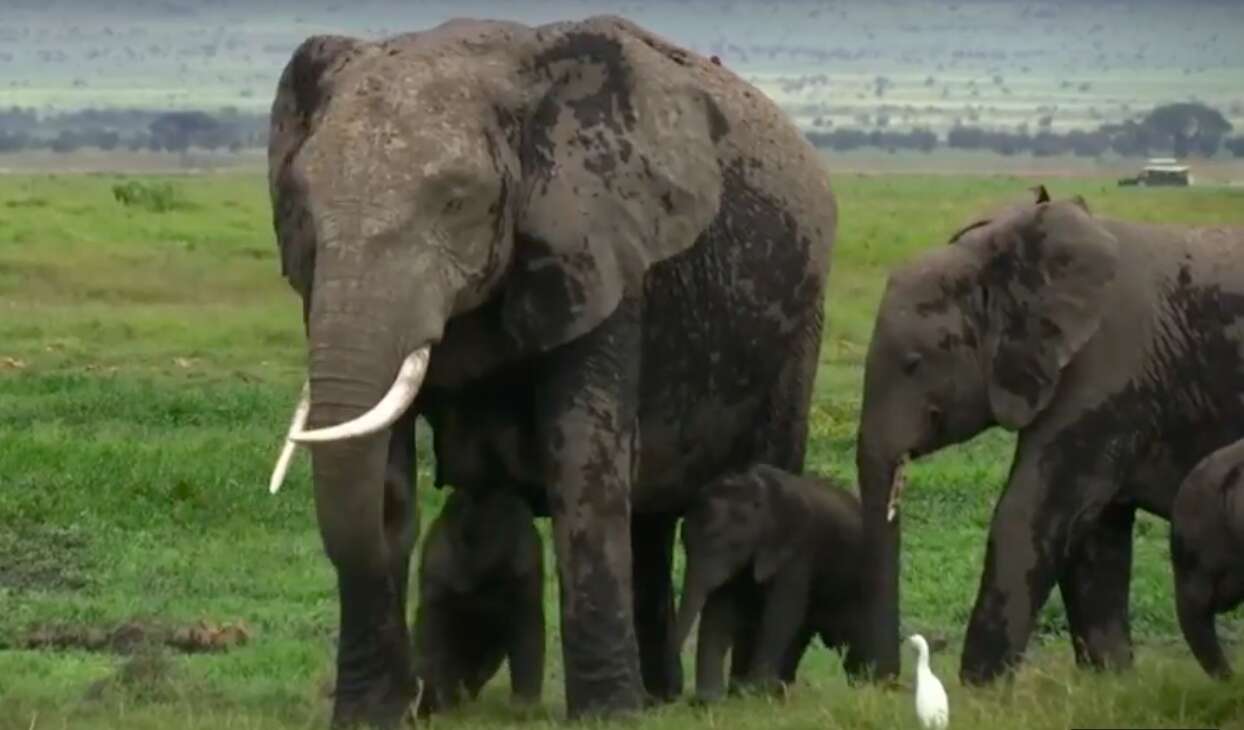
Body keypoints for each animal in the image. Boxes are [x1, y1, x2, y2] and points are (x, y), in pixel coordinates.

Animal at [413, 487, 544, 711]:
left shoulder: (526, 572)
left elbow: (528, 632)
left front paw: (525, 703)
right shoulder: (439, 573)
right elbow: (433, 636)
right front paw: (444, 698)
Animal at [671, 462, 865, 701]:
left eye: (718, 540)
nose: (676, 696)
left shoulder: (797, 551)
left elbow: (781, 613)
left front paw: (754, 693)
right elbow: (720, 611)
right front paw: (709, 700)